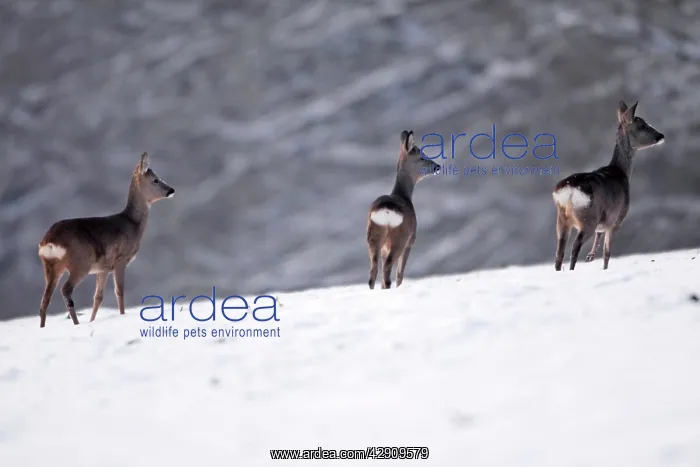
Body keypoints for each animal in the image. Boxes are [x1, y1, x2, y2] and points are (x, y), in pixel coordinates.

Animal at [37, 152, 175, 328]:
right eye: (156, 180)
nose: (171, 190)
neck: (132, 224)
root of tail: (49, 241)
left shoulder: (103, 268)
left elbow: (98, 297)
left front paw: (92, 321)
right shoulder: (120, 259)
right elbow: (119, 291)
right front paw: (122, 315)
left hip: (51, 265)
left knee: (44, 300)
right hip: (80, 263)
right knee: (65, 290)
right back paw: (76, 323)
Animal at [366, 129, 440, 289]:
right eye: (421, 156)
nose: (437, 167)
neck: (403, 194)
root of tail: (387, 210)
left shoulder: (384, 248)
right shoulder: (410, 241)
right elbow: (400, 273)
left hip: (374, 235)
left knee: (373, 270)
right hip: (400, 237)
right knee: (388, 268)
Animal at [552, 100, 664, 272]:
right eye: (643, 125)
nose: (661, 136)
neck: (621, 172)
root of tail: (569, 191)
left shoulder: (603, 223)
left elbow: (599, 240)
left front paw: (590, 257)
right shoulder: (617, 219)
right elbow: (607, 253)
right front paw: (604, 268)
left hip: (562, 218)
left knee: (559, 252)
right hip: (588, 218)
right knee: (575, 245)